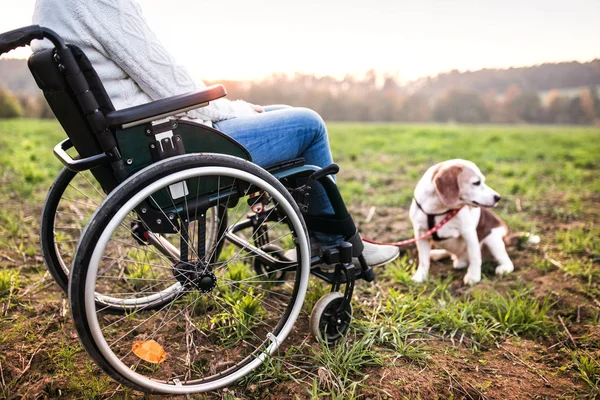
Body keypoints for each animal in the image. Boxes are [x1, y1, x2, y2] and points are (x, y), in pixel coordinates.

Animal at [410, 158, 512, 286]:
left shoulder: (468, 232)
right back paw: (436, 254)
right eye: (476, 183)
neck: (436, 209)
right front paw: (420, 276)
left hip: (493, 239)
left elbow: (475, 257)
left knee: (506, 261)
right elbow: (423, 260)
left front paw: (473, 276)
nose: (498, 197)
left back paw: (504, 268)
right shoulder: (420, 233)